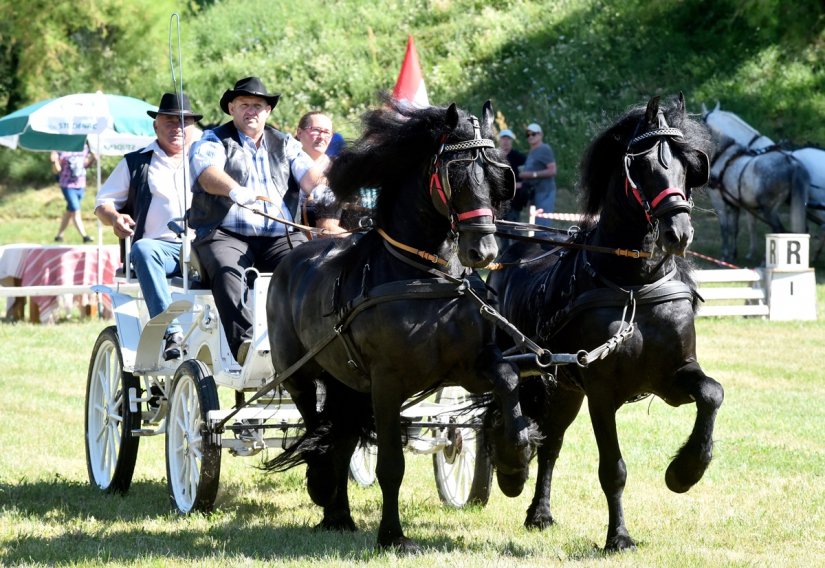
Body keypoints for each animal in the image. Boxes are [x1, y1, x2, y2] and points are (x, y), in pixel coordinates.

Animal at [266, 100, 536, 552]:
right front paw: (392, 535)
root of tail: (292, 259)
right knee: (318, 428)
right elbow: (391, 465)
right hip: (300, 374)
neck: (426, 278)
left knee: (339, 436)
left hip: (347, 383)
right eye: (455, 174)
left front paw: (514, 462)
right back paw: (323, 487)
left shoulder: (469, 367)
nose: (483, 250)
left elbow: (509, 379)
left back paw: (339, 514)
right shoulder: (388, 383)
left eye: (498, 175)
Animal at [486, 95, 724, 552]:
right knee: (510, 404)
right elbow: (613, 469)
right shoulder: (600, 392)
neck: (634, 285)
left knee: (551, 444)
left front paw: (685, 471)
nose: (679, 232)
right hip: (534, 370)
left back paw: (539, 512)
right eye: (642, 165)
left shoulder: (673, 376)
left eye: (688, 165)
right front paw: (619, 537)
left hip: (564, 389)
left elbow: (712, 393)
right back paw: (511, 468)